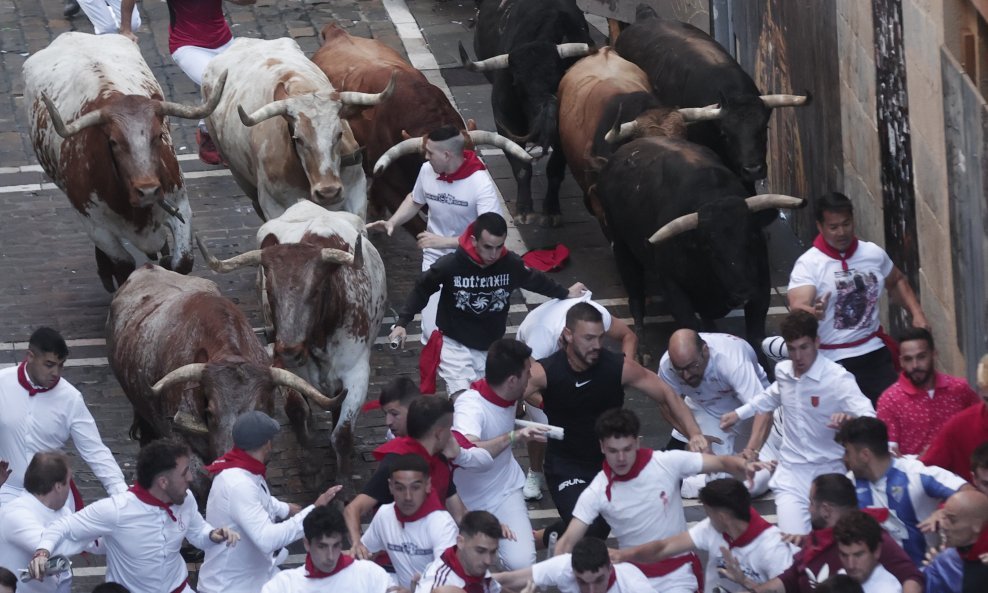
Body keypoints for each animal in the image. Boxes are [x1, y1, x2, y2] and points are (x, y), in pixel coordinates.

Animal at [596, 138, 804, 352]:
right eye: (709, 248)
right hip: (621, 245)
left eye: (753, 237)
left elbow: (756, 335)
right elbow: (691, 328)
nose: (743, 291)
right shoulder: (671, 287)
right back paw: (641, 347)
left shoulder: (761, 284)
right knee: (635, 297)